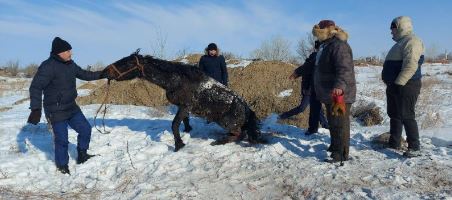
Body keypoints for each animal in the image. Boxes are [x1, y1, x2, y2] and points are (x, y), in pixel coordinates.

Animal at [103, 50, 260, 151]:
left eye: (126, 63)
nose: (105, 71)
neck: (176, 79)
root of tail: (247, 110)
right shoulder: (183, 107)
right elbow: (184, 120)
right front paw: (187, 131)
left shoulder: (185, 106)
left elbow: (174, 124)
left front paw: (179, 144)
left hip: (225, 122)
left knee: (239, 133)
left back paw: (219, 142)